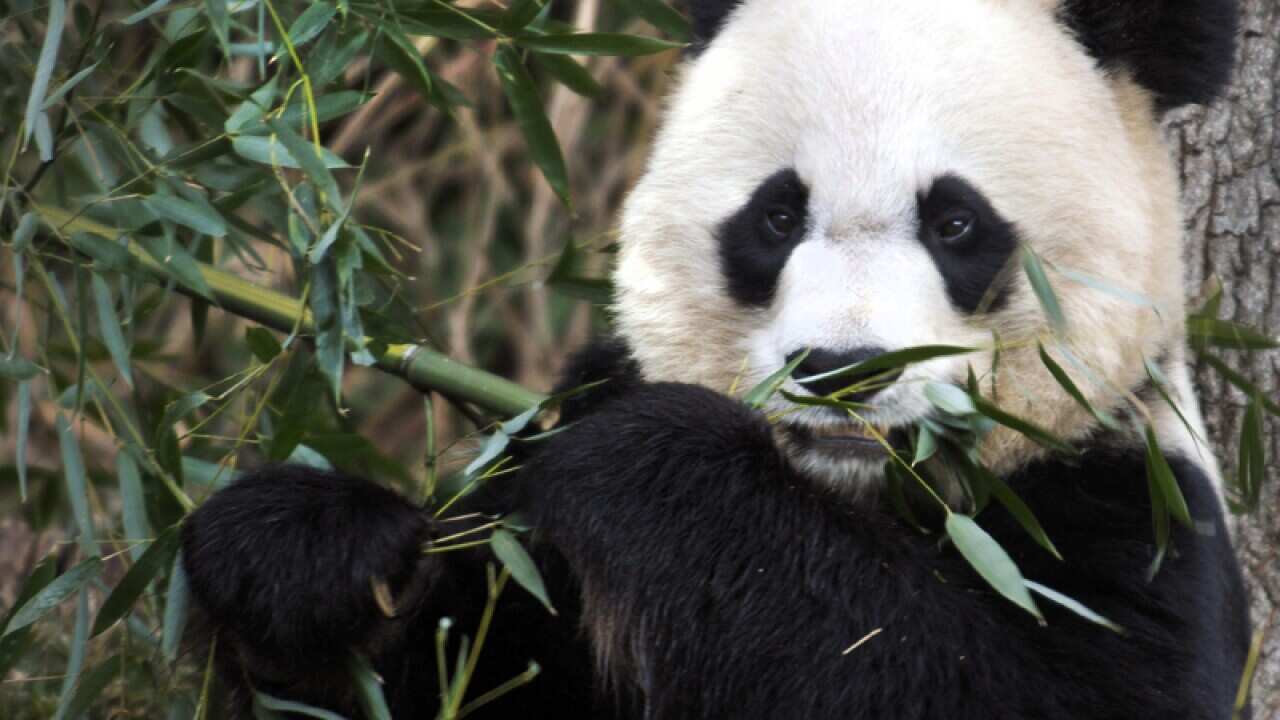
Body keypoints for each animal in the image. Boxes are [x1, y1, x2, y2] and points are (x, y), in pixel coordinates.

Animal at [181, 0, 1253, 718]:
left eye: (956, 222)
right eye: (776, 217)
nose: (843, 369)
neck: (844, 498)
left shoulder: (1128, 505)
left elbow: (972, 682)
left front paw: (655, 462)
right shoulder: (546, 562)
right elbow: (454, 657)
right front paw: (310, 558)